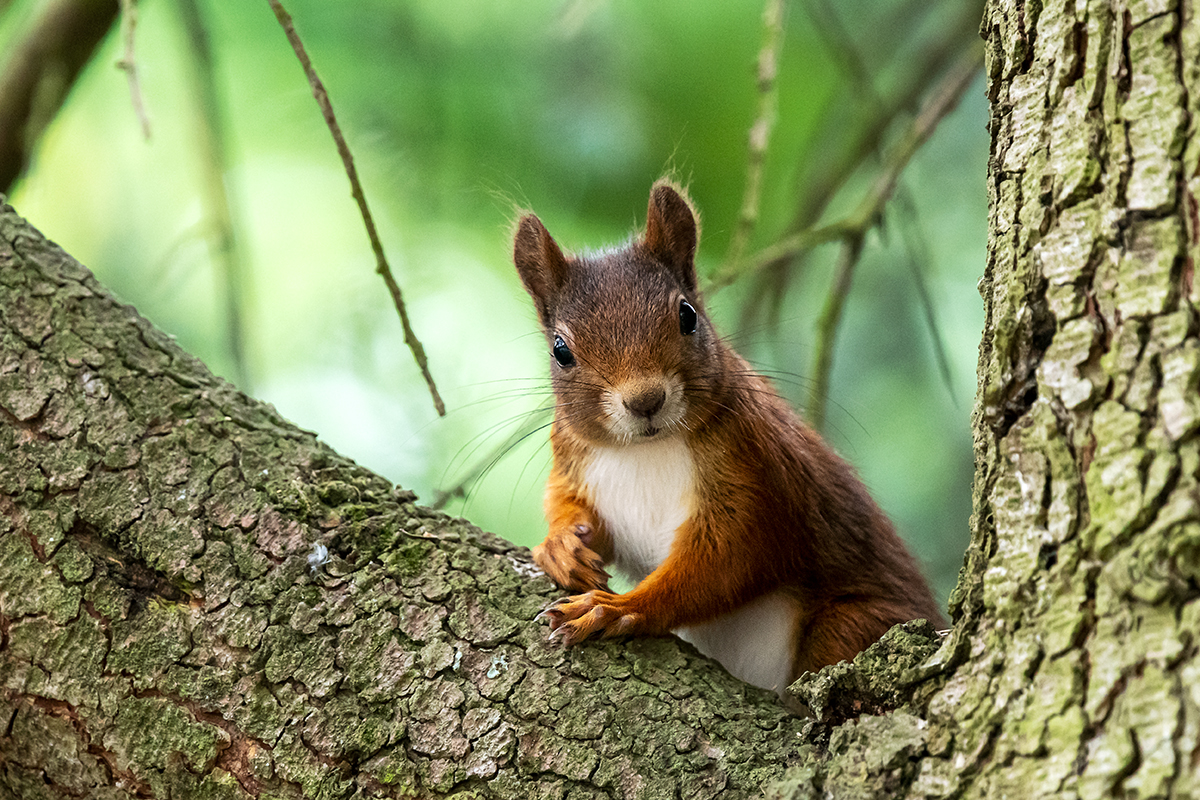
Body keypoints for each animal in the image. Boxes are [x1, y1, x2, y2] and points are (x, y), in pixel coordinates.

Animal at [516, 181, 945, 695]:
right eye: (560, 351)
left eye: (688, 316)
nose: (645, 400)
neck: (644, 449)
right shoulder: (574, 458)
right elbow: (566, 502)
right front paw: (561, 546)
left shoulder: (758, 473)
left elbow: (725, 560)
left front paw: (616, 608)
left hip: (853, 625)